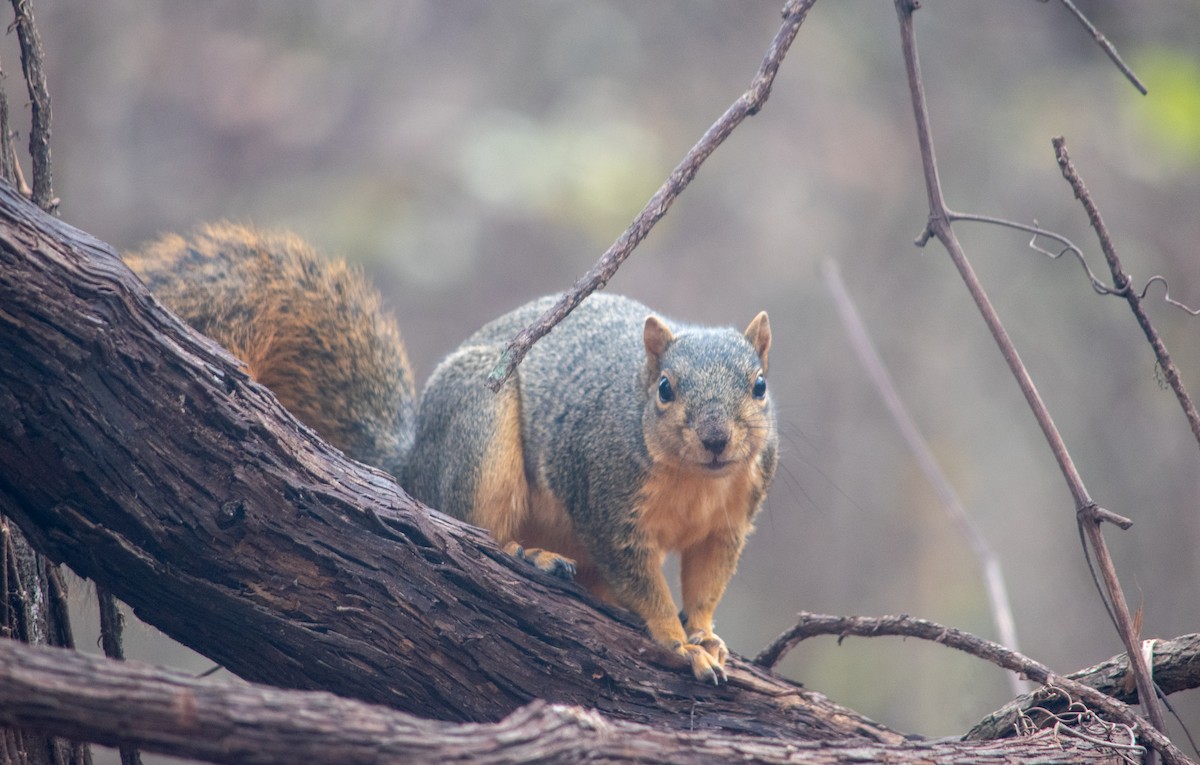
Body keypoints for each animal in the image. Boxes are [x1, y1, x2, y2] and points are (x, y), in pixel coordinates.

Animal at [127, 223, 778, 684]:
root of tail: (414, 463)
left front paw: (705, 632)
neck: (696, 480)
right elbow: (640, 579)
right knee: (472, 527)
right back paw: (527, 555)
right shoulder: (607, 503)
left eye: (759, 385)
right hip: (480, 430)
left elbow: (707, 581)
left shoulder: (730, 523)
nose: (716, 439)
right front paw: (677, 641)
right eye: (665, 389)